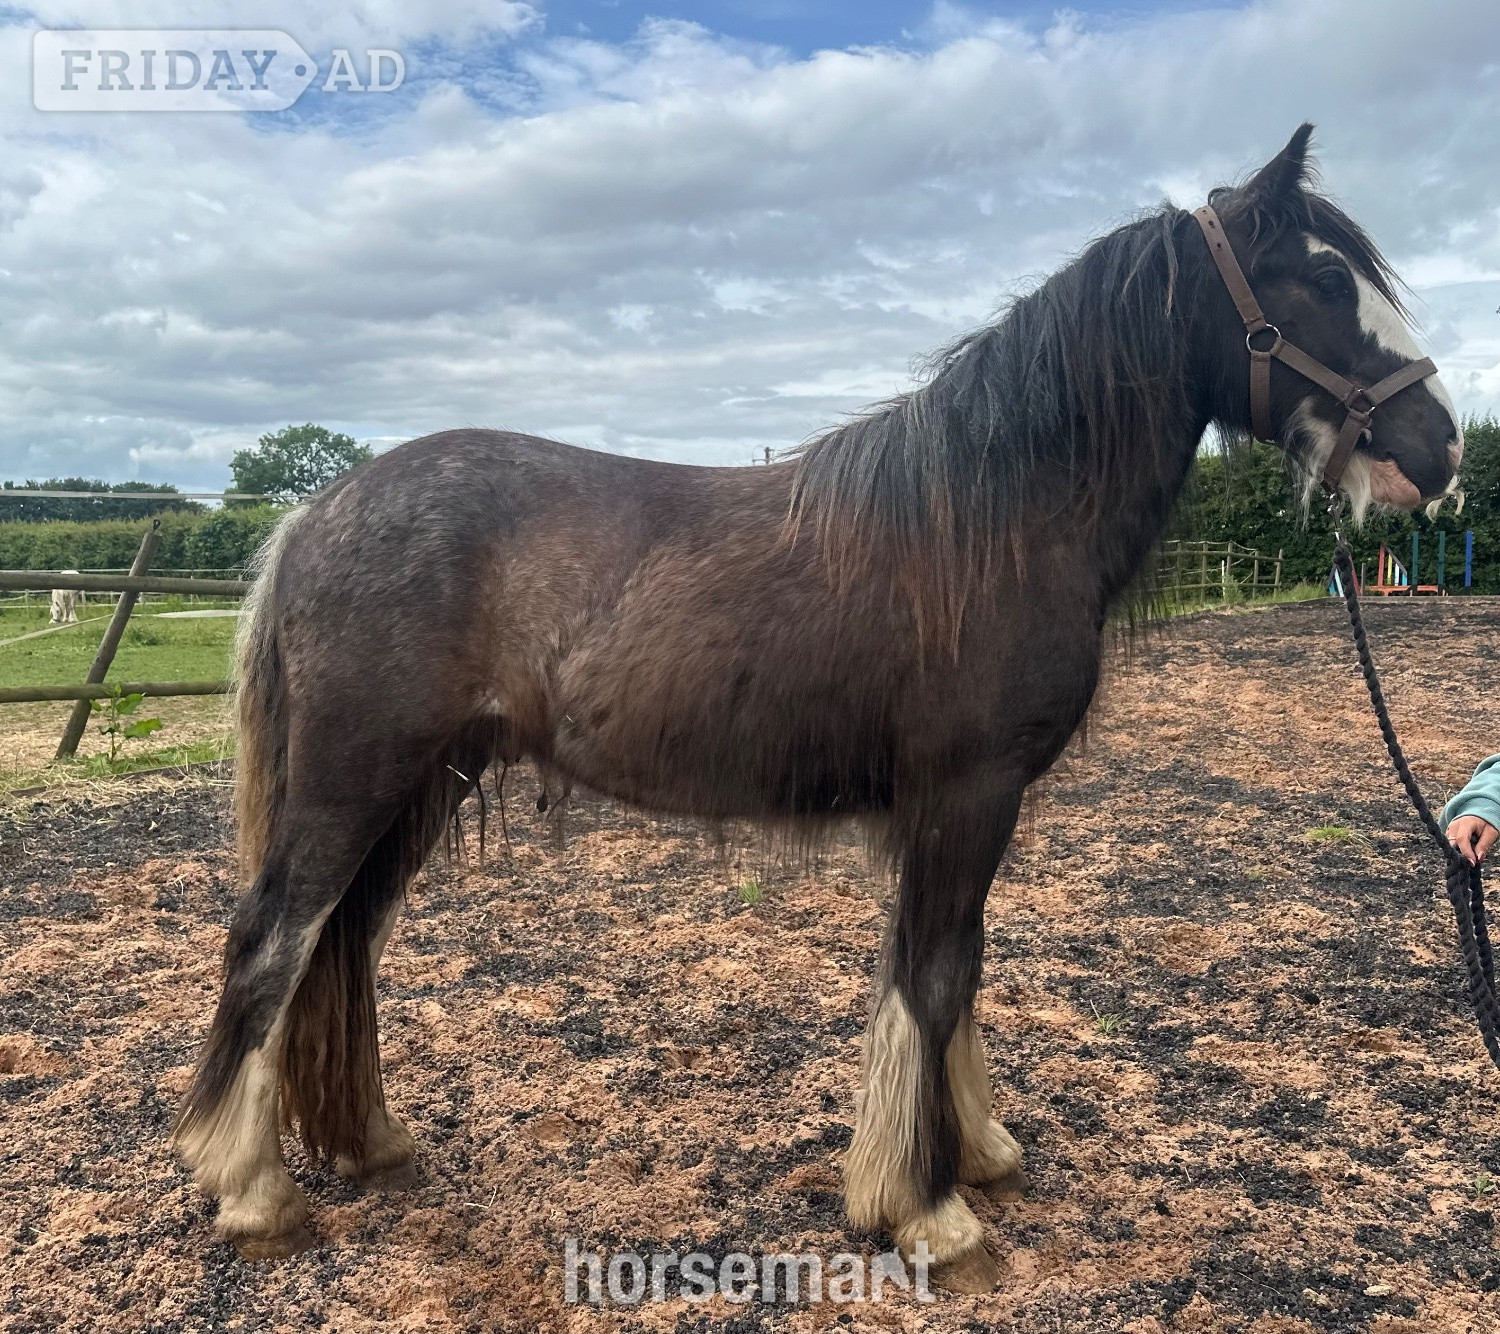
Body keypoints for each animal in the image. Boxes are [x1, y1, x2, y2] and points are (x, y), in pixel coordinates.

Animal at [175, 126, 1462, 1290]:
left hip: (422, 785)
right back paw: (254, 1192)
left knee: (340, 941)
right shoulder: (967, 792)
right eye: (1323, 279)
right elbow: (933, 976)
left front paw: (973, 1152)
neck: (994, 519)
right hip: (356, 780)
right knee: (274, 938)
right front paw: (931, 1211)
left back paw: (366, 1141)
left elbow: (954, 966)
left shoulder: (957, 806)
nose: (1440, 447)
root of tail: (316, 512)